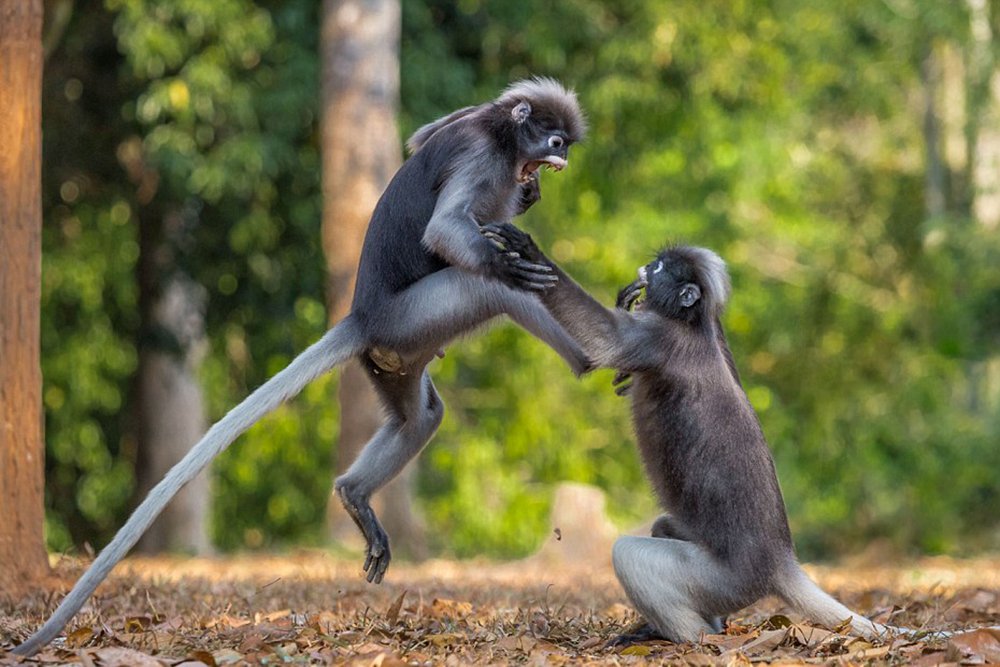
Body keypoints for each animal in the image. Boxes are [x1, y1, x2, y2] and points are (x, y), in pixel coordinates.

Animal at [13, 78, 587, 656]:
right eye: (555, 140)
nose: (557, 162)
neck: (501, 134)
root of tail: (360, 318)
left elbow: (421, 137)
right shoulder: (480, 152)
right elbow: (446, 230)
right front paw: (512, 247)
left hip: (395, 356)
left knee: (420, 416)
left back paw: (354, 494)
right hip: (414, 319)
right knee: (487, 288)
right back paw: (586, 357)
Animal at [481, 222, 960, 644]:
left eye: (660, 268)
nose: (645, 267)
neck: (691, 326)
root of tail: (780, 562)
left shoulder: (658, 340)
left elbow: (604, 340)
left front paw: (529, 251)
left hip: (723, 581)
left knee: (629, 554)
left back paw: (689, 639)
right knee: (663, 526)